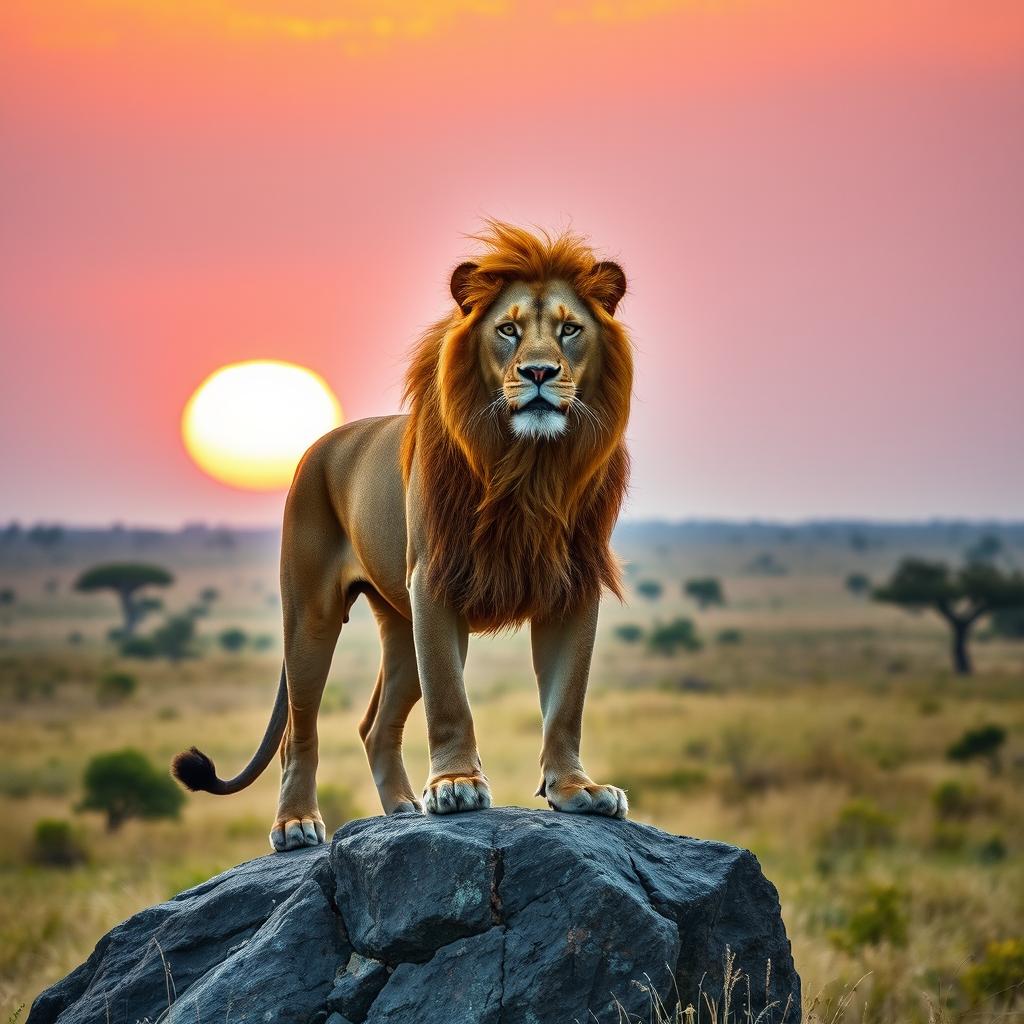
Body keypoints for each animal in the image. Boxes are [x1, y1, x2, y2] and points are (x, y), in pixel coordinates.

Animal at [171, 221, 633, 851]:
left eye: (570, 329)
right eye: (508, 330)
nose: (539, 373)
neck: (529, 466)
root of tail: (319, 444)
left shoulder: (572, 586)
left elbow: (567, 701)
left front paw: (577, 790)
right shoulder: (434, 579)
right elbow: (449, 698)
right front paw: (457, 785)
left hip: (398, 619)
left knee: (374, 725)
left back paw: (402, 810)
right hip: (312, 615)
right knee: (299, 733)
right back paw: (296, 824)